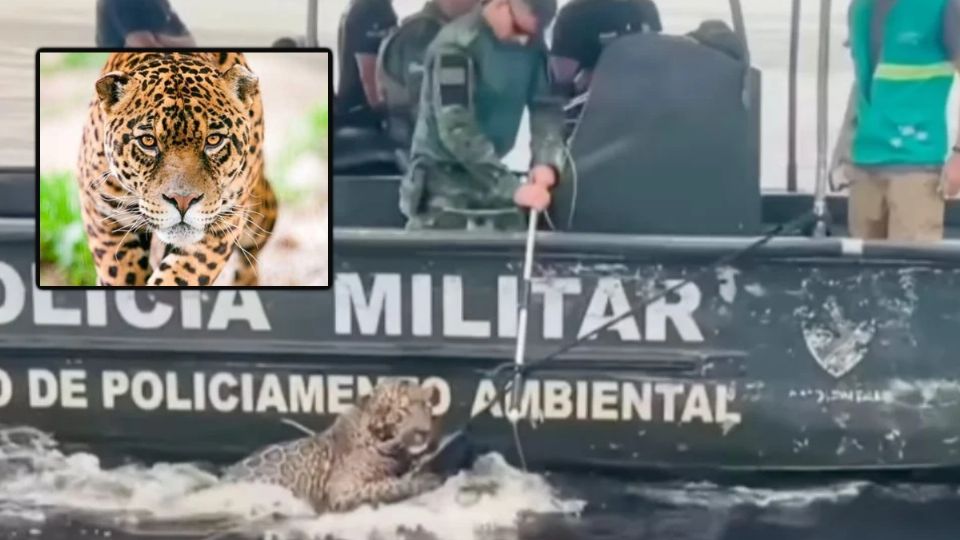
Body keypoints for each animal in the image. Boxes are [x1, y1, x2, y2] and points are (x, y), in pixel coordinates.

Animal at [75, 52, 277, 287]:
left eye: (214, 140)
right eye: (148, 141)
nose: (182, 201)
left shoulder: (225, 220)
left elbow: (180, 276)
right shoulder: (105, 213)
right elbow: (119, 272)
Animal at [220, 380, 444, 514]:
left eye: (427, 407)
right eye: (403, 411)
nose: (424, 432)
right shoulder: (343, 490)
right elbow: (388, 485)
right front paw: (427, 479)